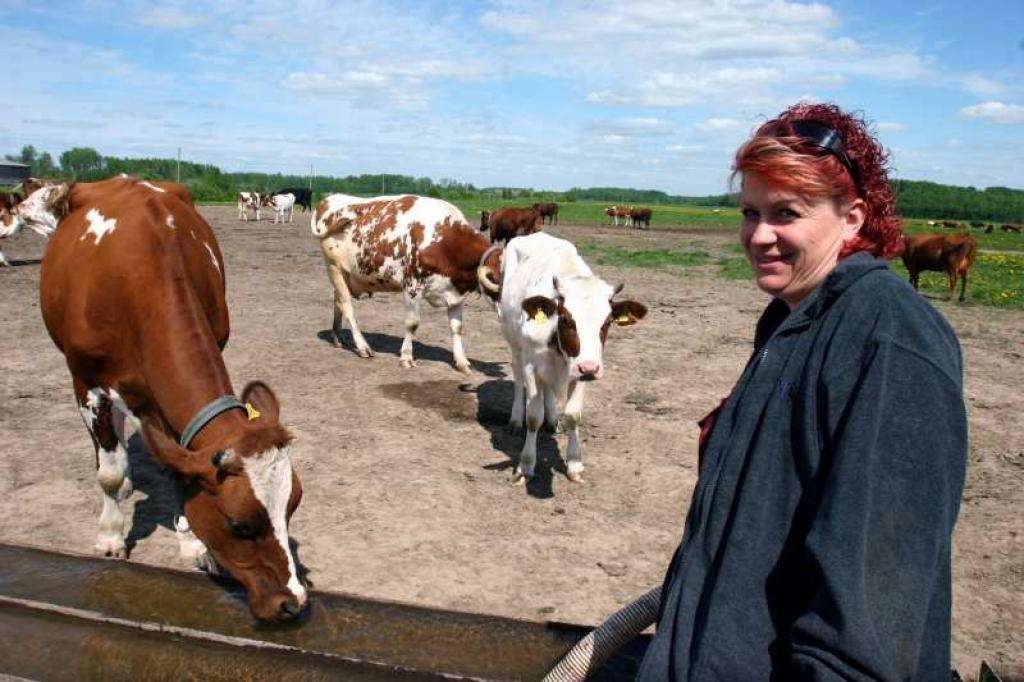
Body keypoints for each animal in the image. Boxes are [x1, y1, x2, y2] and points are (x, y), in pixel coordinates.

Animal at [24, 176, 303, 622]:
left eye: (292, 506)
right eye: (240, 525)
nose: (293, 603)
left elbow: (177, 465)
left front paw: (192, 544)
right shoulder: (87, 382)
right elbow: (110, 472)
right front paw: (111, 537)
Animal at [311, 191, 503, 372]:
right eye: (496, 279)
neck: (445, 241)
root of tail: (328, 200)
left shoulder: (455, 292)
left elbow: (457, 327)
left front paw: (462, 361)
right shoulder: (412, 286)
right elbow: (412, 323)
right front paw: (406, 356)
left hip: (344, 274)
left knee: (337, 301)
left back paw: (338, 338)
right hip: (334, 267)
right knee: (346, 305)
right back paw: (363, 346)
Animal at [497, 233, 647, 483]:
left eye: (607, 322)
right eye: (567, 320)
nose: (590, 368)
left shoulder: (580, 371)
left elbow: (573, 415)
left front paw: (575, 463)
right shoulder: (531, 366)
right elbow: (533, 416)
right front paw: (526, 464)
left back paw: (551, 419)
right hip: (514, 343)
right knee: (517, 377)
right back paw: (516, 419)